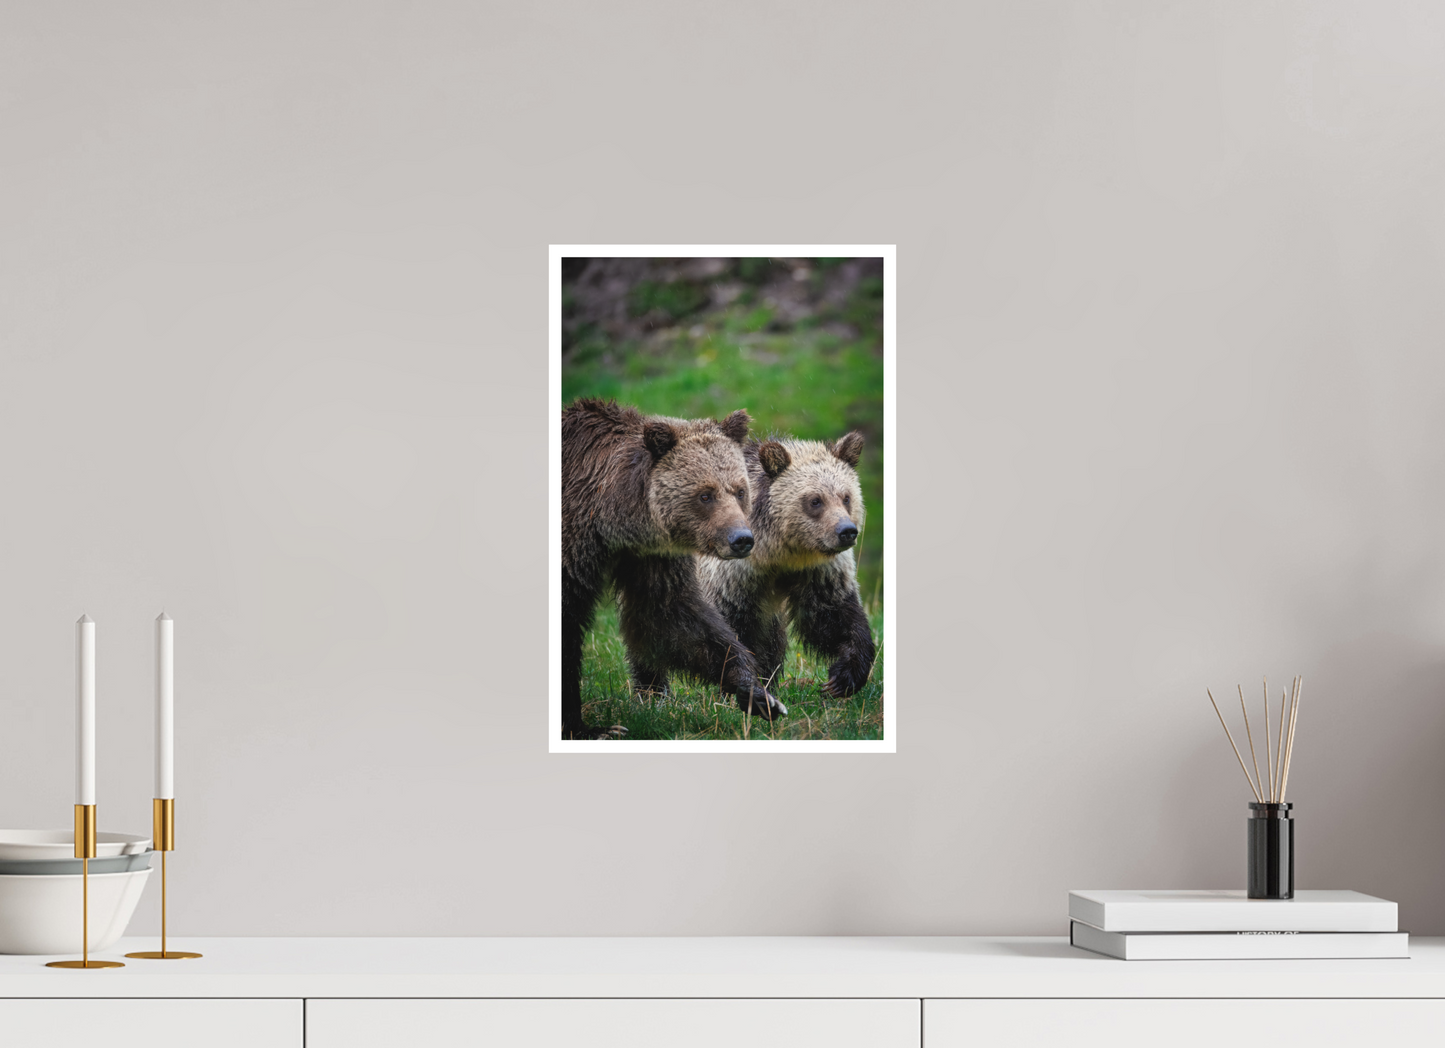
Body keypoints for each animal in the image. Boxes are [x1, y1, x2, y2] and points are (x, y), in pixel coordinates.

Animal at [561, 398, 787, 738]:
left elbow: (671, 615)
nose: (742, 539)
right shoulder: (574, 548)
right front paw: (592, 728)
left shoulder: (650, 557)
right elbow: (568, 629)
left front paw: (757, 693)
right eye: (705, 495)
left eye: (739, 490)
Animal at [698, 431, 877, 700]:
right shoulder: (732, 577)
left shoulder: (817, 572)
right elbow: (733, 627)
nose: (847, 531)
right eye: (815, 500)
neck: (779, 553)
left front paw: (843, 678)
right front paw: (743, 686)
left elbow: (833, 615)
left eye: (846, 497)